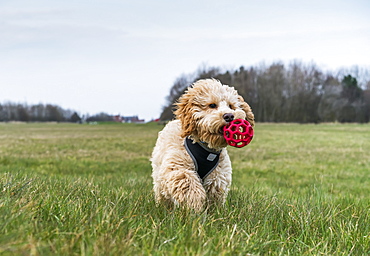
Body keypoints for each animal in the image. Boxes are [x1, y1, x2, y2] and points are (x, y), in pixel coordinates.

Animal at [150, 78, 254, 212]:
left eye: (231, 106)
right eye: (212, 105)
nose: (229, 116)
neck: (206, 147)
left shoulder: (218, 174)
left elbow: (215, 192)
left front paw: (214, 212)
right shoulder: (177, 166)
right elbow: (188, 182)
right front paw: (195, 205)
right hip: (159, 175)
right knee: (162, 192)